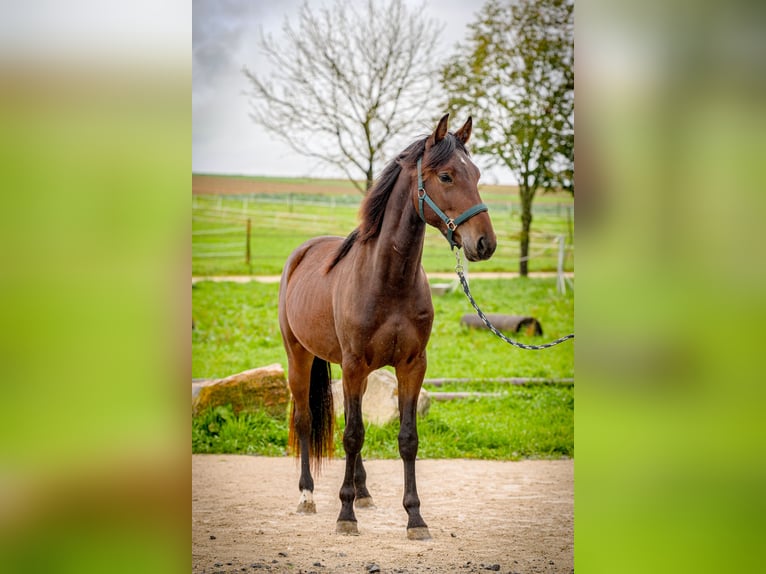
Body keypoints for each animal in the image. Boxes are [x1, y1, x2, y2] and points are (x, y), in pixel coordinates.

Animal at [278, 113, 496, 540]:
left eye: (477, 174)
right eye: (446, 176)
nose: (485, 243)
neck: (389, 280)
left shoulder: (412, 366)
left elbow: (406, 439)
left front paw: (414, 517)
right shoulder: (353, 365)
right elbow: (351, 435)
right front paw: (345, 515)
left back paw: (362, 491)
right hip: (300, 356)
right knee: (307, 420)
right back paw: (307, 496)